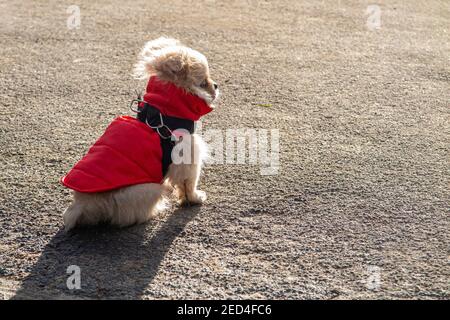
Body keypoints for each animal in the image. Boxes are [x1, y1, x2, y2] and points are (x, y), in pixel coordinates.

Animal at [61, 37, 220, 230]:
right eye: (203, 83)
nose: (216, 85)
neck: (164, 111)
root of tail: (82, 205)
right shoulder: (187, 155)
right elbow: (188, 183)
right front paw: (194, 198)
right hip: (148, 189)